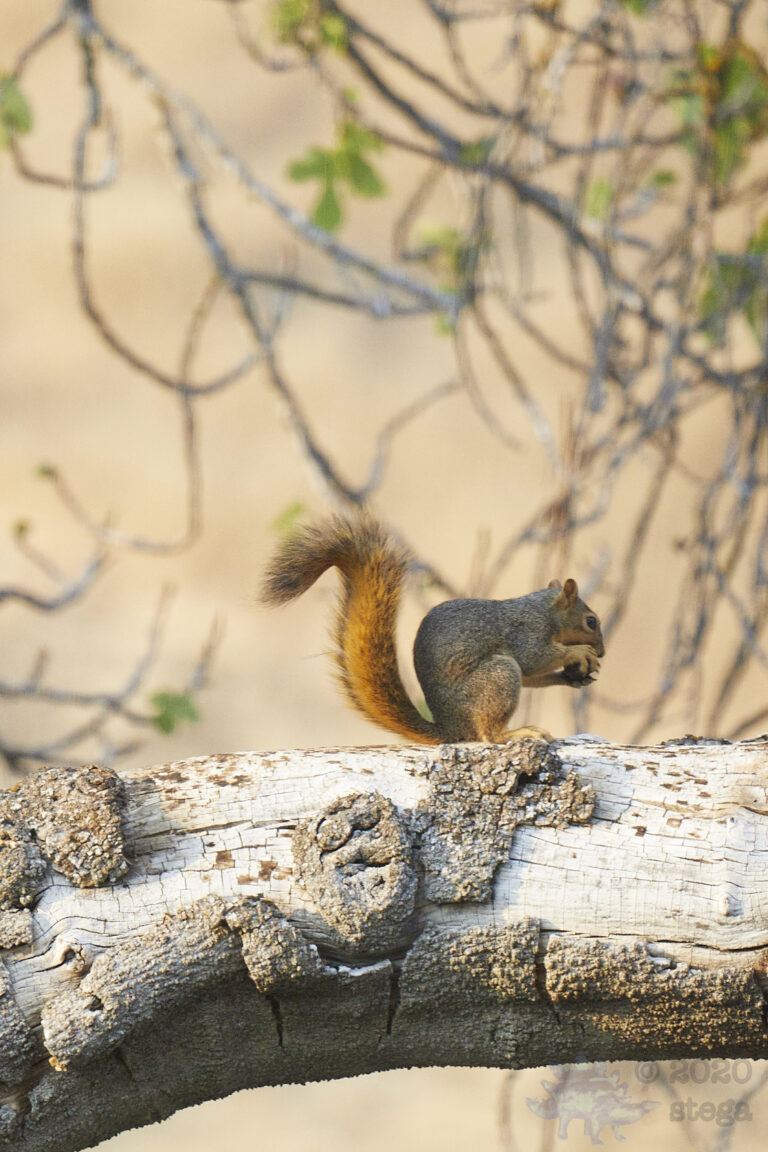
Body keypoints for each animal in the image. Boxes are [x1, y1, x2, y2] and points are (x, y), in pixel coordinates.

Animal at [261, 516, 604, 745]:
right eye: (591, 621)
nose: (602, 651)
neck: (544, 610)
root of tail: (451, 730)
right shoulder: (525, 632)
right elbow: (534, 659)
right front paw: (580, 652)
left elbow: (533, 676)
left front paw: (572, 676)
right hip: (499, 675)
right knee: (489, 735)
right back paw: (518, 732)